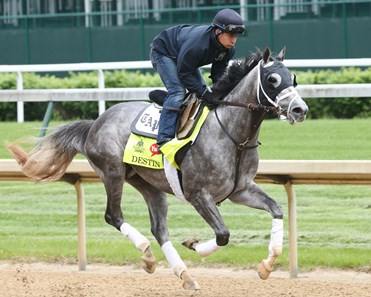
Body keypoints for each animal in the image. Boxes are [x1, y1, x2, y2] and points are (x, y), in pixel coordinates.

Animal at [8, 46, 308, 290]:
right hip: (113, 173)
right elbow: (223, 235)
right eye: (272, 80)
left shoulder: (240, 190)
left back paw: (184, 275)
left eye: (293, 78)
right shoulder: (199, 194)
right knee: (113, 216)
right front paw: (194, 244)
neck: (233, 136)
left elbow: (277, 209)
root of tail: (95, 123)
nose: (299, 110)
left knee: (159, 229)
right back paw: (147, 254)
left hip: (148, 184)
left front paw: (267, 265)